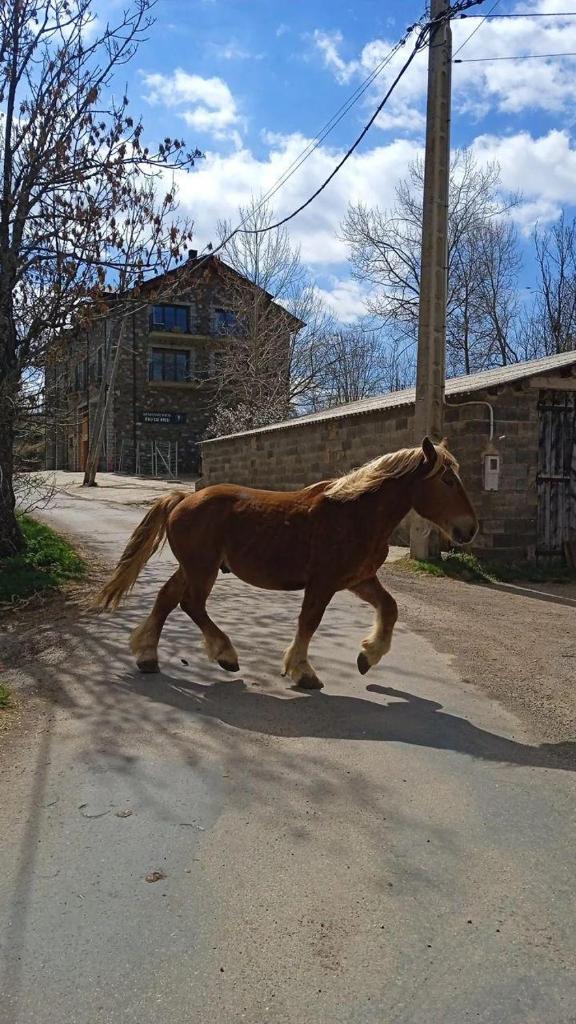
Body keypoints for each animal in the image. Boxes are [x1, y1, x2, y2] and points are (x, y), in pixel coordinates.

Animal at [93, 437, 478, 689]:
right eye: (447, 479)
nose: (469, 529)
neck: (355, 513)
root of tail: (182, 498)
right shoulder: (323, 583)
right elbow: (309, 622)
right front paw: (303, 672)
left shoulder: (358, 579)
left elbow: (390, 607)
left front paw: (368, 656)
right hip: (202, 569)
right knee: (191, 604)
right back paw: (225, 654)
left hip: (191, 567)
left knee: (167, 599)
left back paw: (148, 657)